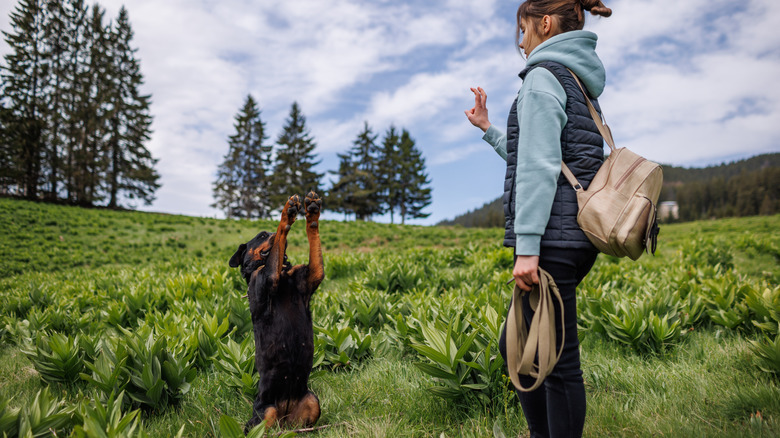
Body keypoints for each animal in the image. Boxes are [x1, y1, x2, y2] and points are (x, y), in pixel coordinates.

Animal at [229, 191, 322, 432]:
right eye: (262, 235)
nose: (267, 233)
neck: (283, 273)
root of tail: (285, 414)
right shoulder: (268, 275)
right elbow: (281, 233)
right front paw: (286, 214)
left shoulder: (312, 275)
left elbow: (313, 238)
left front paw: (312, 213)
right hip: (265, 412)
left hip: (312, 401)